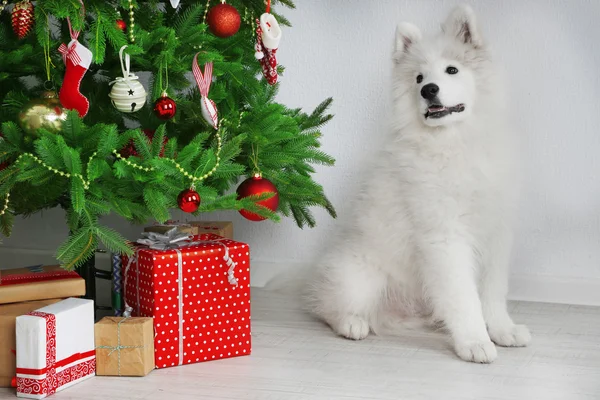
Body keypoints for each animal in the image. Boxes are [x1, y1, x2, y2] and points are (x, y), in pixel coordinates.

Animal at [308, 5, 532, 362]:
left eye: (451, 70)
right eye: (418, 79)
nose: (429, 90)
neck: (455, 143)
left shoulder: (496, 234)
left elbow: (493, 292)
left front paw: (502, 330)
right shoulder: (444, 237)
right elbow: (464, 297)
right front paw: (474, 341)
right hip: (359, 278)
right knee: (325, 304)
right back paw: (352, 323)